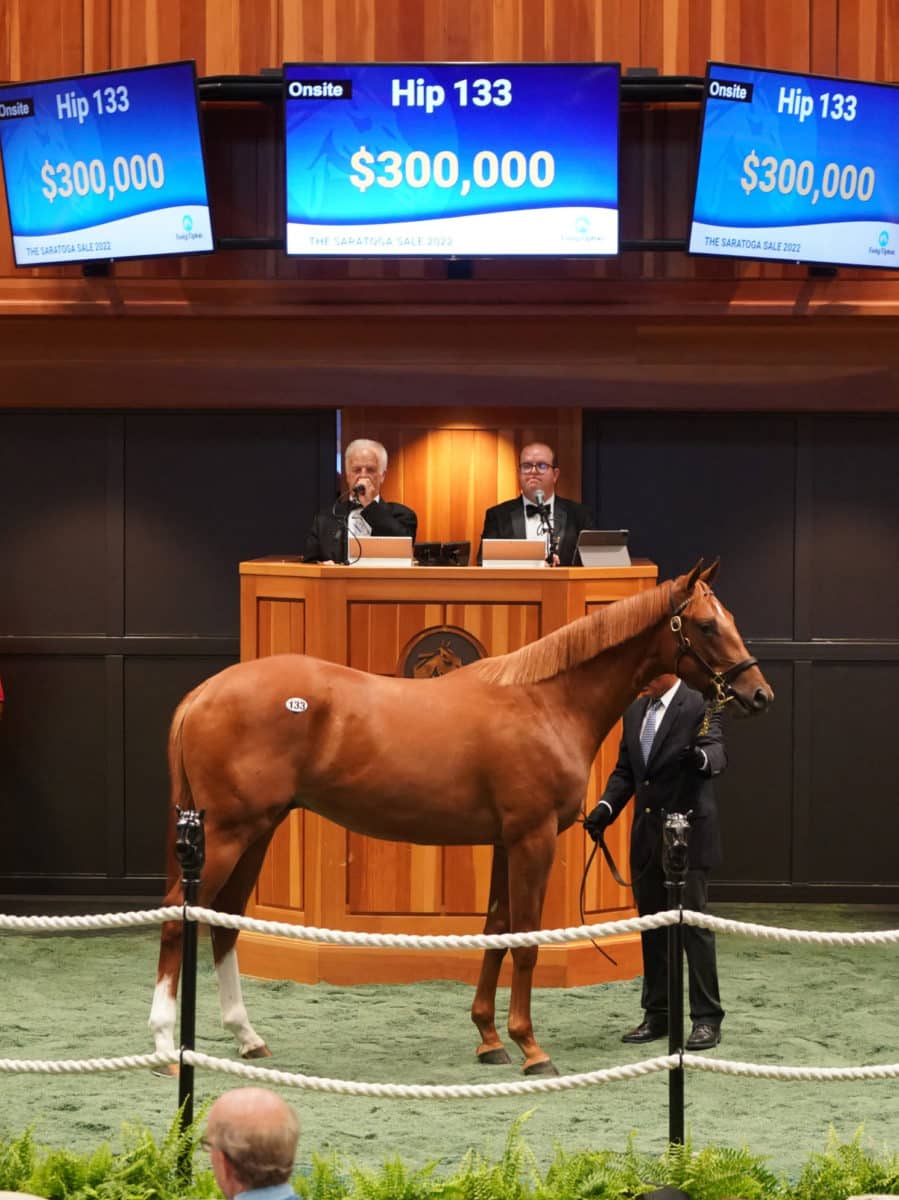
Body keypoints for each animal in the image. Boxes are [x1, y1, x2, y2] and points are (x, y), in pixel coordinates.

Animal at [150, 561, 768, 1080]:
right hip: (228, 834)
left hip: (257, 831)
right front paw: (530, 1047)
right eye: (707, 625)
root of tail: (204, 693)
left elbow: (496, 932)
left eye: (731, 621)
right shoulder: (532, 838)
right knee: (179, 918)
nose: (758, 693)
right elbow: (527, 942)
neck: (545, 701)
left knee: (224, 922)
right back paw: (162, 1045)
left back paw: (247, 1037)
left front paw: (489, 1038)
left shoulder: (504, 841)